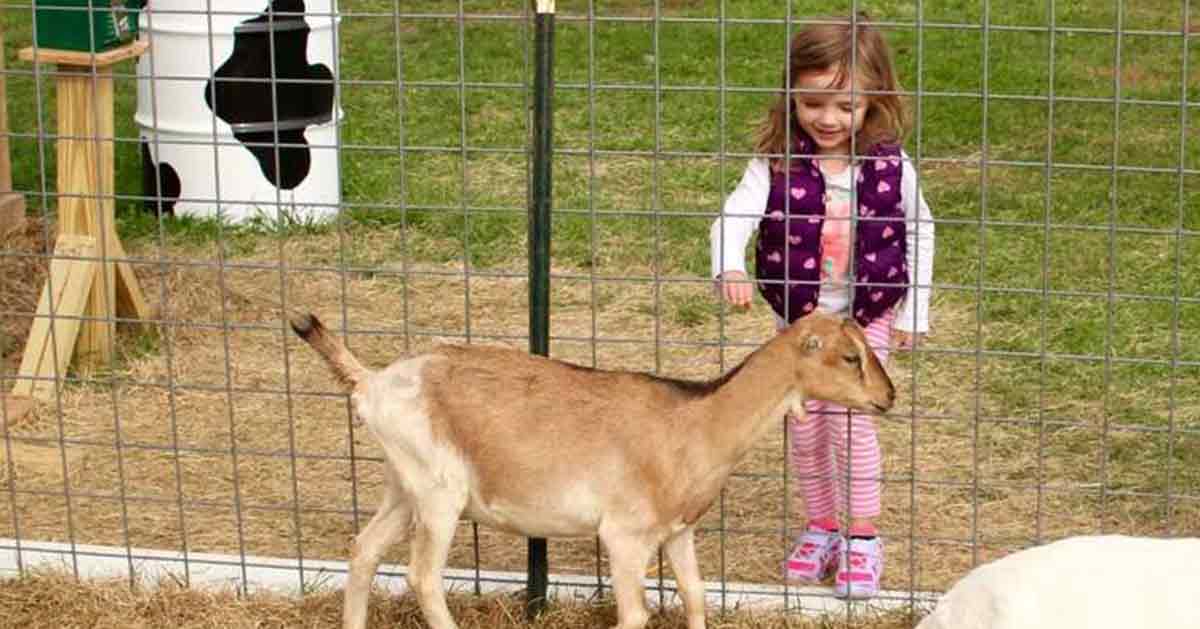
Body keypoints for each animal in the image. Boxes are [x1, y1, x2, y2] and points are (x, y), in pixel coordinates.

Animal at [288, 309, 892, 629]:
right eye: (849, 357)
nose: (888, 397)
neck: (693, 422)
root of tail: (372, 382)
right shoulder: (625, 537)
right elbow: (636, 616)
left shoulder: (678, 533)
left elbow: (695, 597)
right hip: (439, 493)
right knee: (423, 576)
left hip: (402, 484)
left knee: (364, 548)